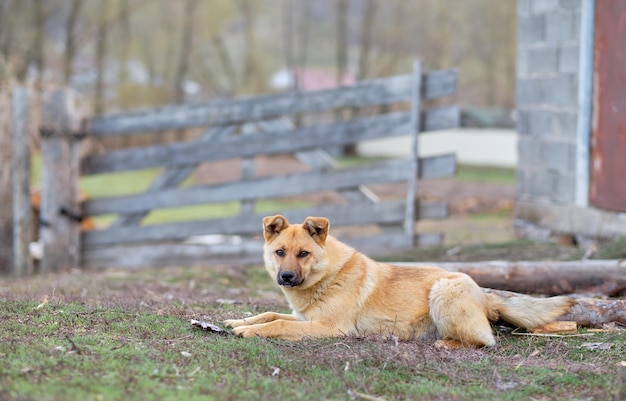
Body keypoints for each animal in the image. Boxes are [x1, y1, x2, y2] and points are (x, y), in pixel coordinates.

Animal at [222, 216, 572, 346]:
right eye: (280, 252)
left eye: (303, 253)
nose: (285, 277)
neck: (329, 275)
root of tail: (485, 294)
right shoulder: (305, 318)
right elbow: (270, 314)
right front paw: (238, 321)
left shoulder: (329, 327)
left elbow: (277, 323)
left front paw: (249, 330)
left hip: (443, 291)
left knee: (484, 340)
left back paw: (444, 343)